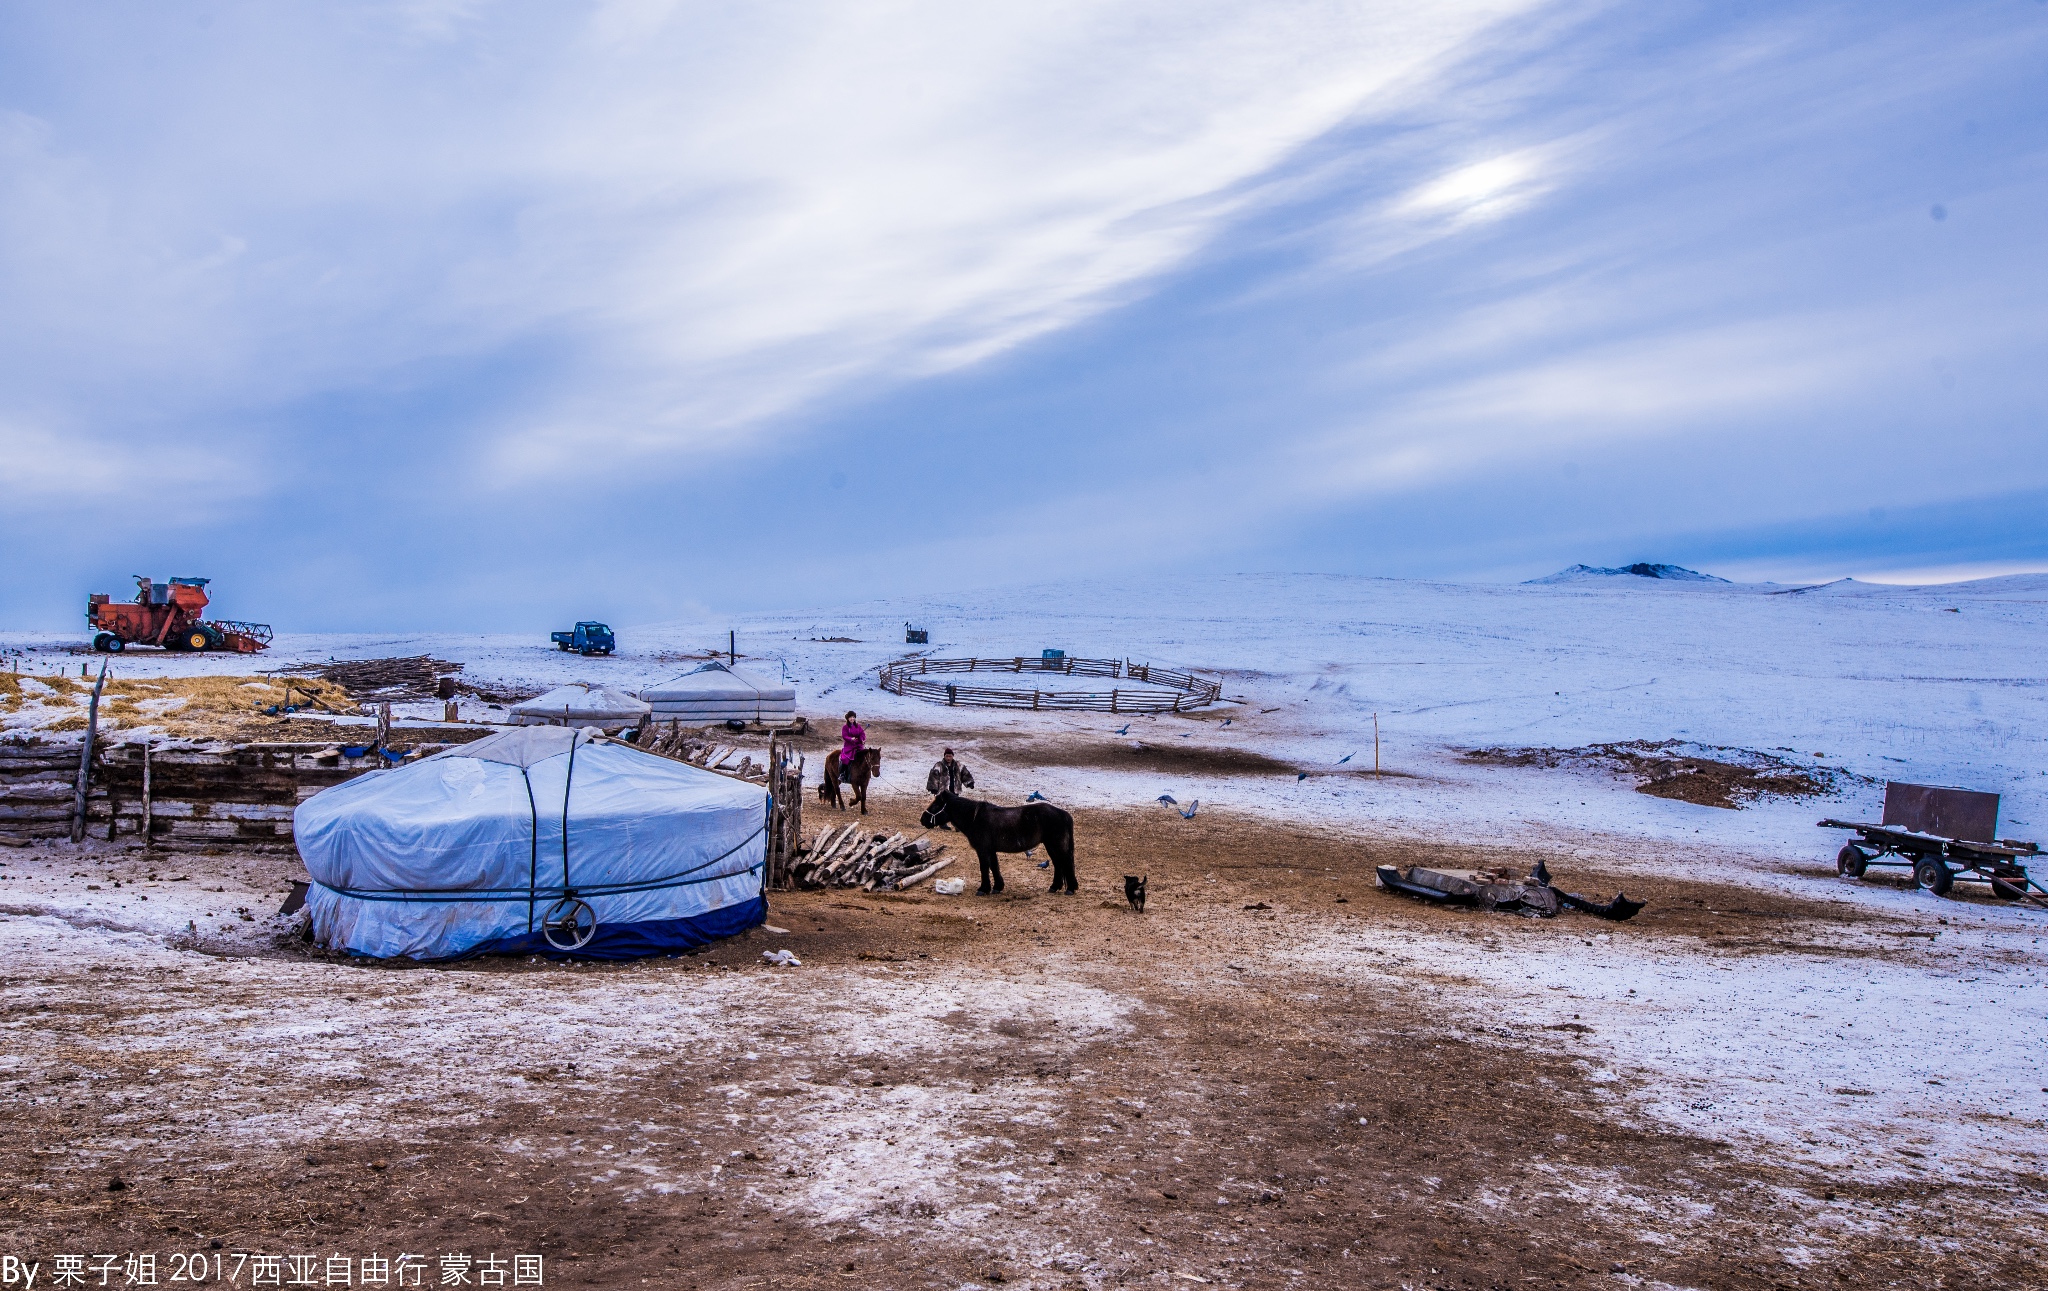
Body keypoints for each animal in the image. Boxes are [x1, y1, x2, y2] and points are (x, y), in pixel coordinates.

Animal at [921, 790, 1081, 901]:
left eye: (936, 805)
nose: (923, 820)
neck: (975, 818)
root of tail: (1064, 814)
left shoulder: (983, 850)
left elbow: (984, 868)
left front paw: (983, 889)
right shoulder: (991, 850)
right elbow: (994, 867)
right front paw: (997, 887)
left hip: (1056, 844)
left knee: (1066, 862)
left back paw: (1070, 888)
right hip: (1050, 845)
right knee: (1058, 863)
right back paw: (1055, 887)